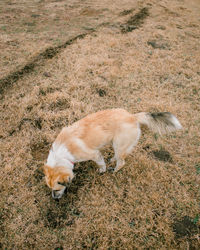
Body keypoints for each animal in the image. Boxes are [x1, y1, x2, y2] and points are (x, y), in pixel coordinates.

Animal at [43, 108, 181, 198]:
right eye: (50, 189)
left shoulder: (95, 154)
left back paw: (114, 171)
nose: (54, 199)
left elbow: (101, 164)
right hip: (116, 145)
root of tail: (132, 116)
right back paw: (112, 161)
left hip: (118, 145)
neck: (61, 155)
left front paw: (102, 171)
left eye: (57, 189)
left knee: (122, 162)